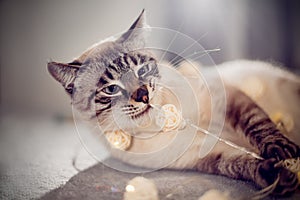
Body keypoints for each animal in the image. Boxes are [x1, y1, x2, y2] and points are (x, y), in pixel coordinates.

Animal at [48, 9, 300, 197]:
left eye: (142, 70)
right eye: (111, 89)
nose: (143, 94)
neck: (164, 124)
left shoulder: (228, 99)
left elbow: (258, 125)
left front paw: (282, 152)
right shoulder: (206, 155)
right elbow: (242, 164)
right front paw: (280, 178)